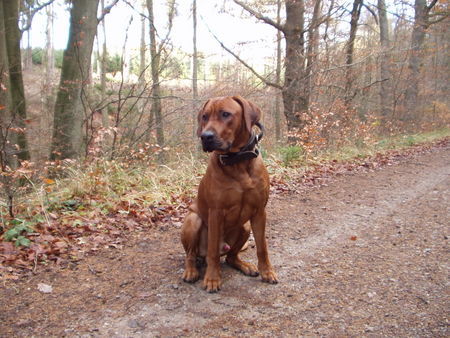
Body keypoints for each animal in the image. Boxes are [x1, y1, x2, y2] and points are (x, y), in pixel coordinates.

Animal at [180, 96, 278, 292]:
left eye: (225, 114)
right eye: (204, 116)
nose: (205, 137)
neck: (237, 161)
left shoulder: (259, 212)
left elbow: (262, 247)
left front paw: (267, 272)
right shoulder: (215, 212)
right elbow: (212, 253)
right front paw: (212, 279)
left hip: (245, 227)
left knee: (231, 257)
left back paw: (245, 266)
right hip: (193, 220)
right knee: (192, 254)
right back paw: (191, 270)